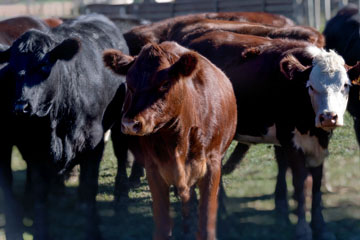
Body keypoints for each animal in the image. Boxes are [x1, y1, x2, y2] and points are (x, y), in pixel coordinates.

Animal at [0, 14, 128, 239]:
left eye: (44, 65)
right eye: (13, 69)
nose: (21, 106)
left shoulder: (93, 145)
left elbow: (89, 189)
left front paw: (93, 231)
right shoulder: (34, 150)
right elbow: (40, 193)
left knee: (121, 151)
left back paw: (121, 194)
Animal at [102, 41, 238, 240]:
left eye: (165, 83)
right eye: (129, 82)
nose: (129, 123)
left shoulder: (212, 165)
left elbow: (206, 221)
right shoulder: (154, 169)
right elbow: (163, 226)